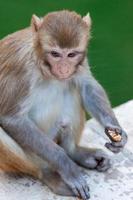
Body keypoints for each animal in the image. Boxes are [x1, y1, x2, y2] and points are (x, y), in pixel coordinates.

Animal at [0, 10, 127, 199]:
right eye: (55, 54)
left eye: (72, 55)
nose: (64, 69)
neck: (41, 62)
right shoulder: (21, 68)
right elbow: (11, 118)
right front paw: (67, 167)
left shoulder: (80, 62)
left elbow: (87, 87)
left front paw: (117, 131)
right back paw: (48, 174)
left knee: (72, 91)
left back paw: (75, 152)